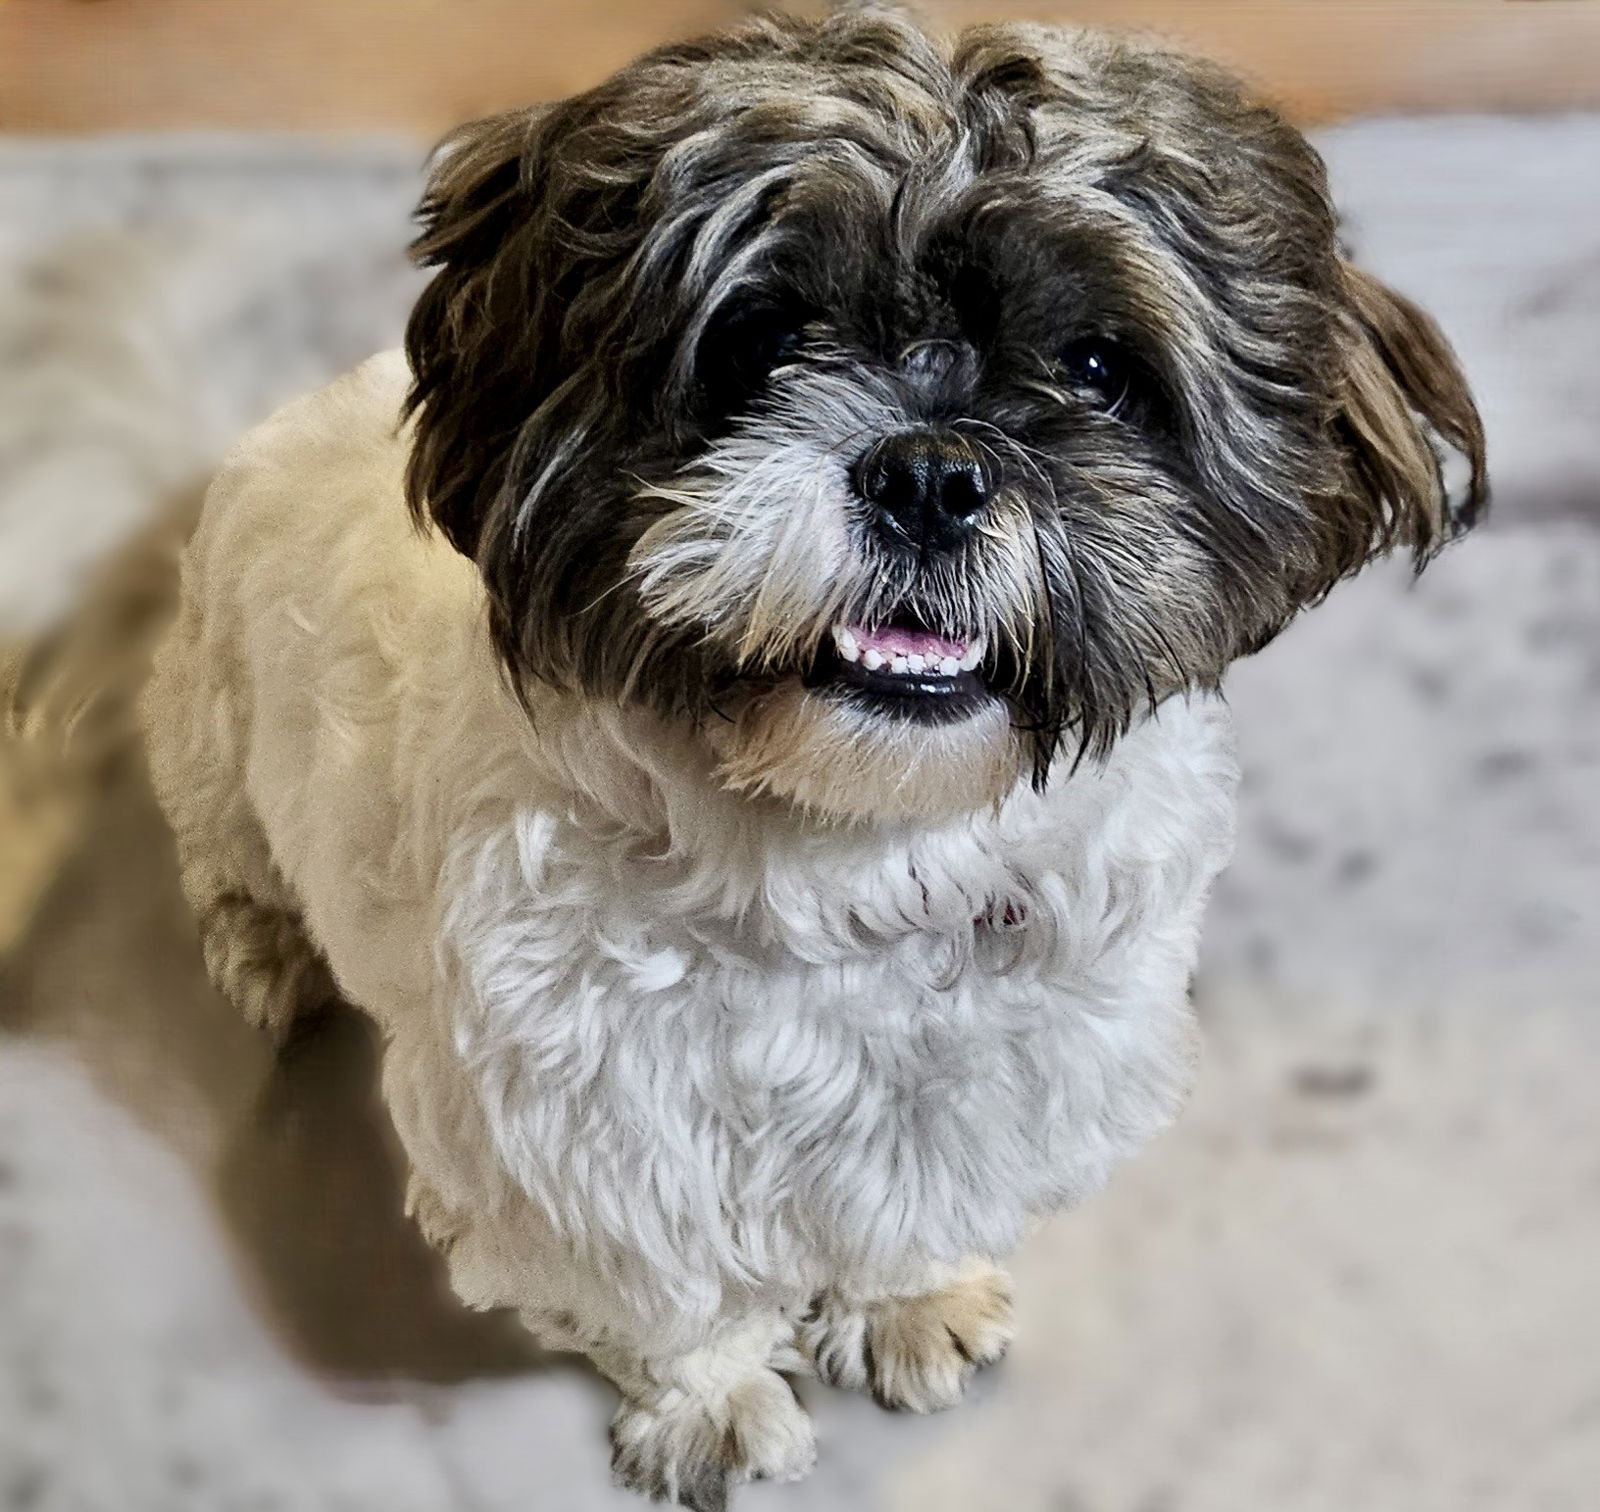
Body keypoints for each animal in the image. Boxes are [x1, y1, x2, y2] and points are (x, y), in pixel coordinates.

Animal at [137, 14, 1484, 1510]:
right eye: (763, 339)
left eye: (1094, 368)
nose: (930, 469)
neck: (867, 857)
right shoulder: (580, 1153)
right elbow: (671, 1306)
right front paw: (715, 1405)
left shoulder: (997, 1090)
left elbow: (909, 1212)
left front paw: (909, 1301)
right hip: (212, 737)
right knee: (227, 858)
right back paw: (267, 950)